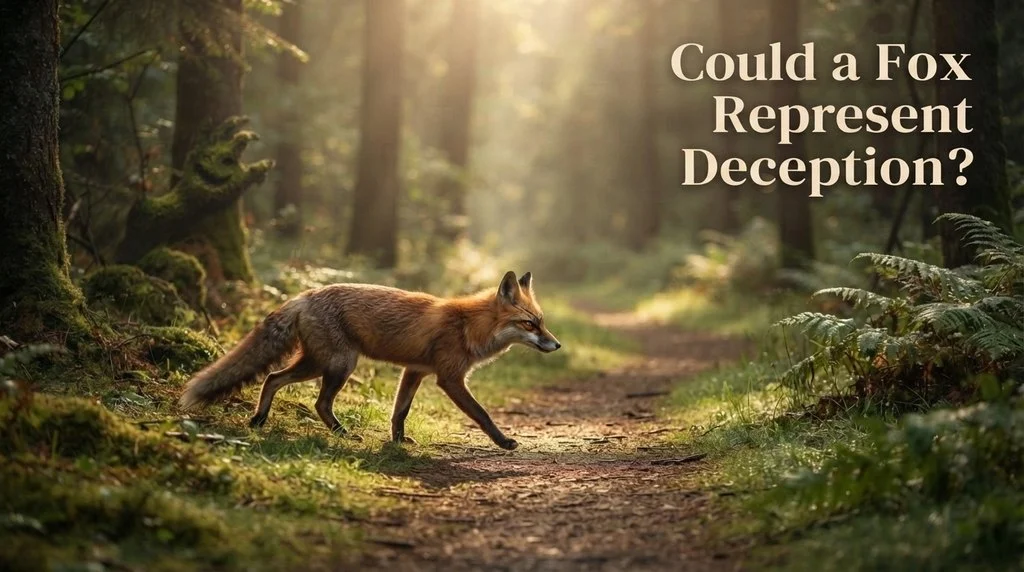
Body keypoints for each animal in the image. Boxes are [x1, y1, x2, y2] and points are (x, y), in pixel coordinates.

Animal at [179, 271, 560, 450]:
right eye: (530, 324)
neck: (469, 325)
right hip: (339, 364)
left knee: (272, 378)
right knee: (317, 401)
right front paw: (504, 442)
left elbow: (399, 411)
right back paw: (342, 433)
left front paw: (398, 442)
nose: (556, 344)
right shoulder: (449, 378)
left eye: (542, 322)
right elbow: (482, 414)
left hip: (317, 363)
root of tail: (306, 294)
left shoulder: (415, 371)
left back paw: (259, 420)